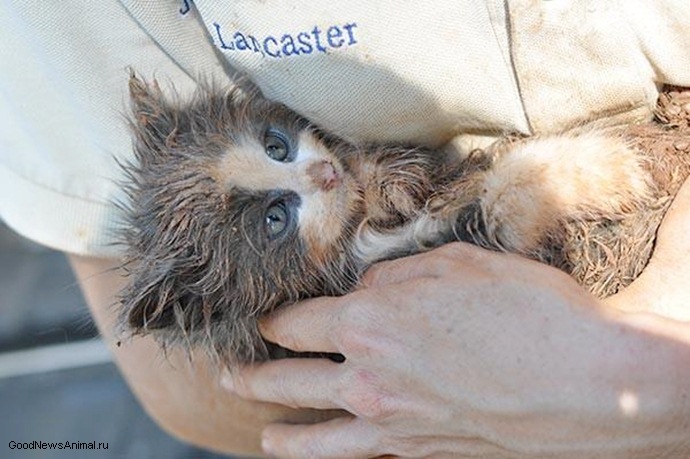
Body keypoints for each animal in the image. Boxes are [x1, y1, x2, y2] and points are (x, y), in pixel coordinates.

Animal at [118, 73, 688, 364]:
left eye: (275, 146)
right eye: (275, 219)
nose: (324, 173)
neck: (358, 234)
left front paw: (386, 178)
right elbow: (503, 202)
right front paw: (614, 169)